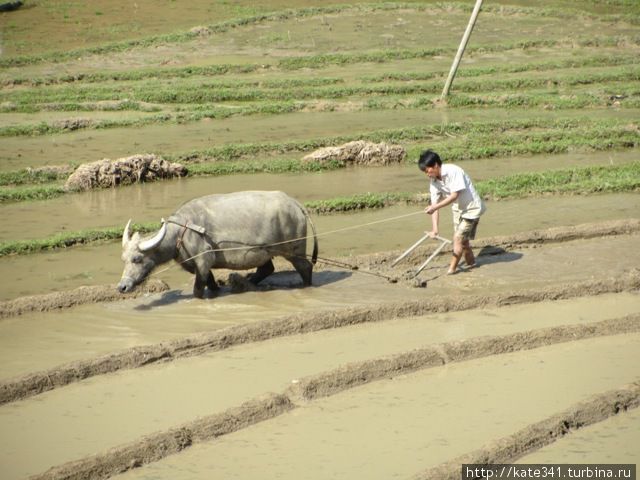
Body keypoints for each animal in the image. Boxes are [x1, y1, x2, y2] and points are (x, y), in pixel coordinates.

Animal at [117, 190, 318, 296]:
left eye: (137, 259)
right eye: (124, 260)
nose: (122, 287)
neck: (182, 231)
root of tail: (295, 204)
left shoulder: (203, 260)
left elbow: (198, 289)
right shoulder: (197, 265)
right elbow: (211, 282)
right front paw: (217, 290)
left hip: (294, 249)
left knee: (305, 267)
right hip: (263, 251)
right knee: (267, 268)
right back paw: (246, 283)